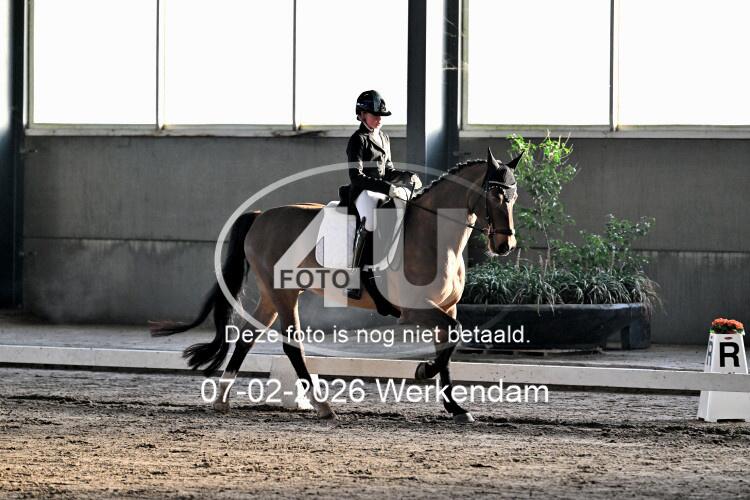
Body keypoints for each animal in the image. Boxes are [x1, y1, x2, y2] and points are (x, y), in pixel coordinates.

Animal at [149, 148, 520, 424]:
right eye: (494, 193)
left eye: (514, 195)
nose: (505, 246)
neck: (433, 235)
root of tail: (260, 216)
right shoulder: (415, 310)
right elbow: (451, 340)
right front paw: (422, 370)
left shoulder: (447, 307)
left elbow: (448, 348)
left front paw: (456, 408)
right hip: (283, 295)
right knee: (291, 345)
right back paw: (321, 405)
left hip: (272, 295)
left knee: (246, 338)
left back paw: (222, 399)